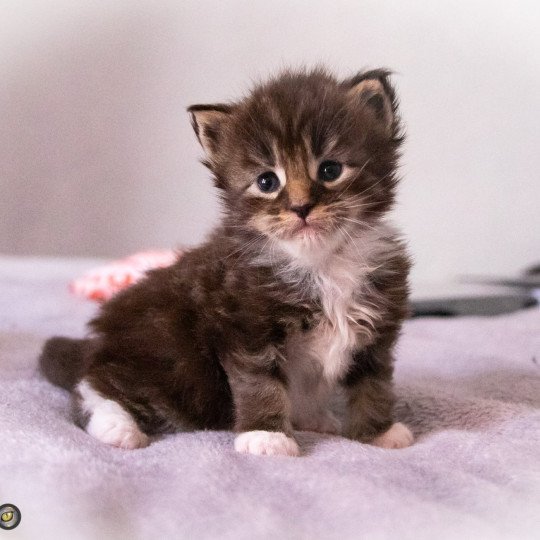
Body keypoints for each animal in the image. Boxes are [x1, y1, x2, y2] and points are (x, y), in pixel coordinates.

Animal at [40, 67, 414, 456]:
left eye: (330, 170)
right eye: (267, 181)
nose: (301, 207)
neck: (320, 264)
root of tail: (96, 344)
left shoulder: (378, 329)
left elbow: (373, 384)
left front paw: (378, 432)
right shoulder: (246, 326)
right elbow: (260, 384)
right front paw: (267, 436)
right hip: (172, 364)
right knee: (95, 386)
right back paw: (117, 427)